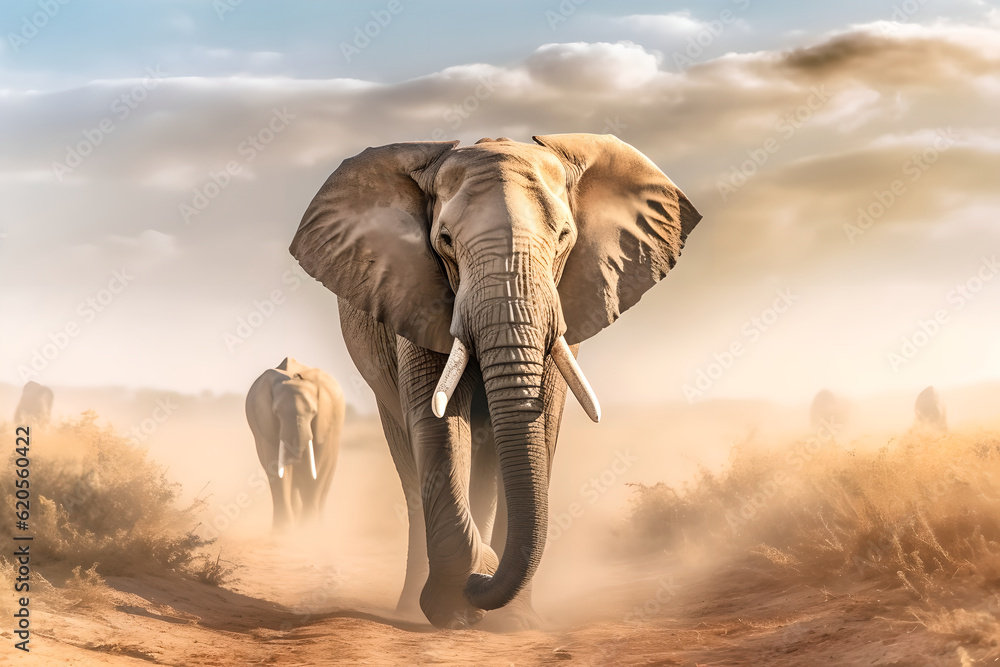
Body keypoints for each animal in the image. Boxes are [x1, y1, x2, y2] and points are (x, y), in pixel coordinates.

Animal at [245, 357, 345, 530]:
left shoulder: (325, 424)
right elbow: (275, 466)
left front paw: (308, 529)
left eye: (313, 412)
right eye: (276, 412)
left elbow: (316, 468)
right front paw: (283, 530)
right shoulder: (263, 425)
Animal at [289, 134, 701, 628]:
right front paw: (456, 604)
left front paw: (513, 622)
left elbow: (542, 424)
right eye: (445, 241)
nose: (480, 581)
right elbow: (439, 421)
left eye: (564, 238)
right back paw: (416, 603)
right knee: (410, 461)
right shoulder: (417, 292)